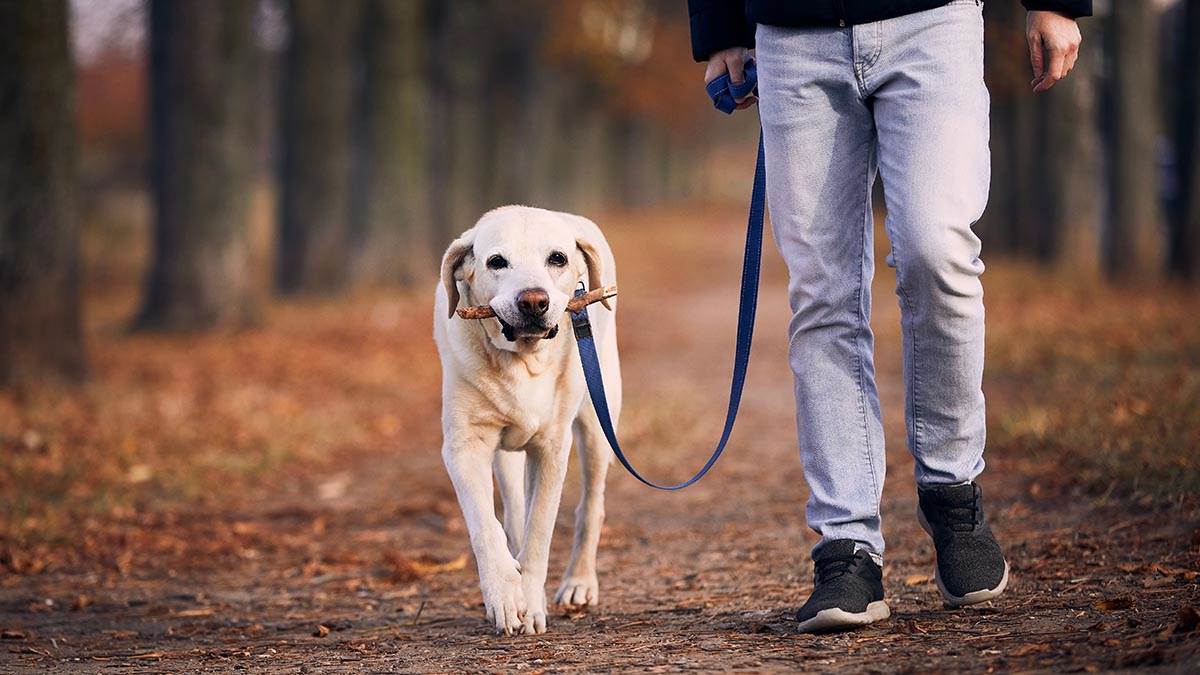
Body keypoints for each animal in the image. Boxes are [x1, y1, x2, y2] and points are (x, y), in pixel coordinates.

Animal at [432, 204, 619, 629]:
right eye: (497, 262)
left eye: (558, 259)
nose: (533, 301)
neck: (522, 362)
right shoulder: (465, 446)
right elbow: (486, 526)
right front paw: (504, 596)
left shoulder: (551, 448)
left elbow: (539, 535)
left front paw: (531, 603)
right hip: (506, 453)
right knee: (514, 510)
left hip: (598, 423)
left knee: (591, 505)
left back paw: (579, 582)